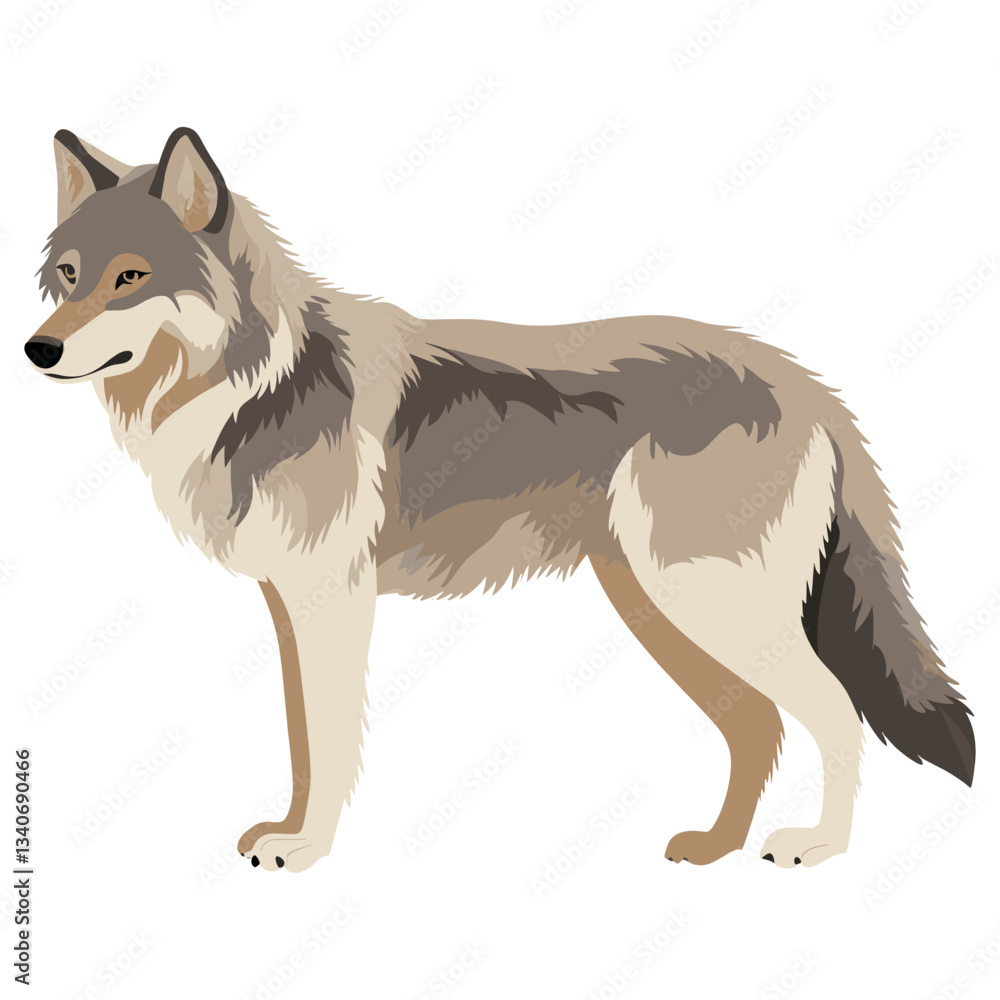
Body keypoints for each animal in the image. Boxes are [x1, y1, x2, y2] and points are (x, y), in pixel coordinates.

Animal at [25, 127, 974, 872]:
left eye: (131, 278)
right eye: (69, 275)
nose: (37, 350)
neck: (255, 383)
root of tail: (807, 383)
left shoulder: (333, 602)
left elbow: (327, 739)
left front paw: (307, 850)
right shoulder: (291, 604)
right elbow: (301, 738)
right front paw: (289, 833)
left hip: (708, 606)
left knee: (836, 716)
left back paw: (818, 847)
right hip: (666, 610)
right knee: (759, 727)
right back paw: (714, 849)